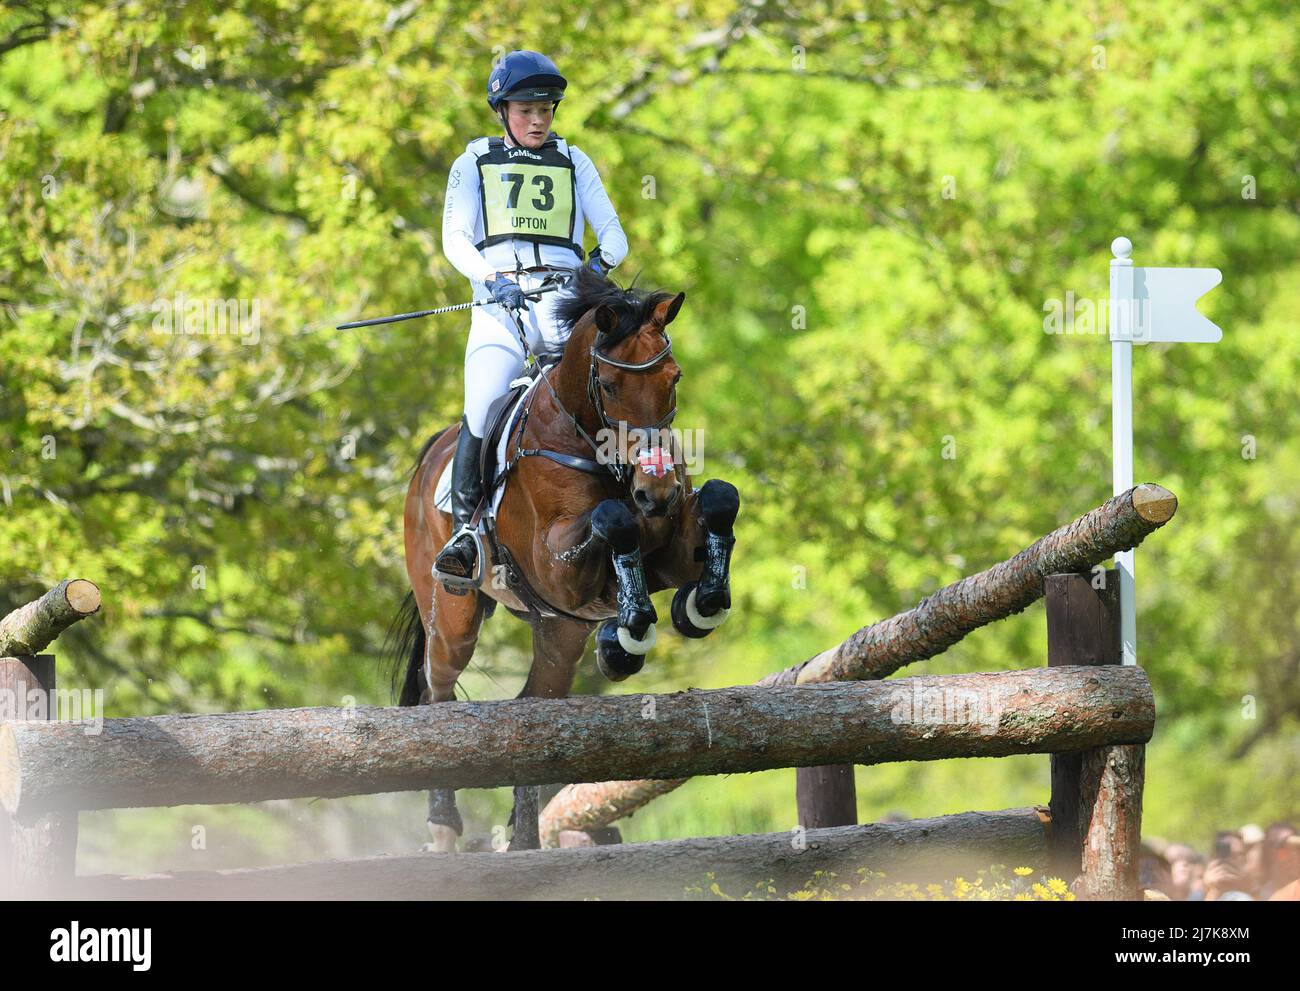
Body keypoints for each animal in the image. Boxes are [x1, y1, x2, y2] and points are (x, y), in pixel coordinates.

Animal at [384, 262, 743, 847]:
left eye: (674, 379)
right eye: (611, 385)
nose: (656, 490)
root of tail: (427, 460)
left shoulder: (665, 551)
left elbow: (719, 498)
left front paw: (697, 605)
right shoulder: (557, 569)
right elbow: (612, 520)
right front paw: (630, 629)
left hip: (558, 633)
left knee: (534, 706)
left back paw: (524, 836)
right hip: (454, 615)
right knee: (437, 694)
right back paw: (443, 826)